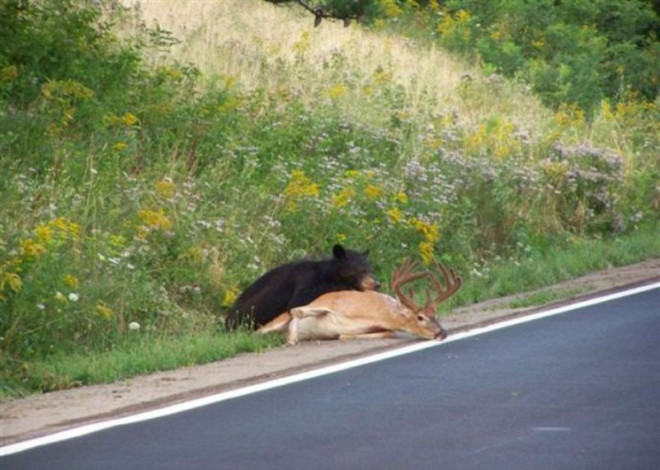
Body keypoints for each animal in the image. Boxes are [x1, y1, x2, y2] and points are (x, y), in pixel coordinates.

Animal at [227, 246, 378, 330]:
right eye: (361, 270)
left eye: (371, 269)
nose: (376, 284)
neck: (326, 272)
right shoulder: (304, 276)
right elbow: (298, 299)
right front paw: (348, 286)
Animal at [255, 258, 462, 344]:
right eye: (420, 317)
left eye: (436, 315)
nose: (442, 332)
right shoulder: (328, 301)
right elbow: (297, 310)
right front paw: (291, 339)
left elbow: (388, 333)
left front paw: (342, 335)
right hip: (273, 322)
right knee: (258, 332)